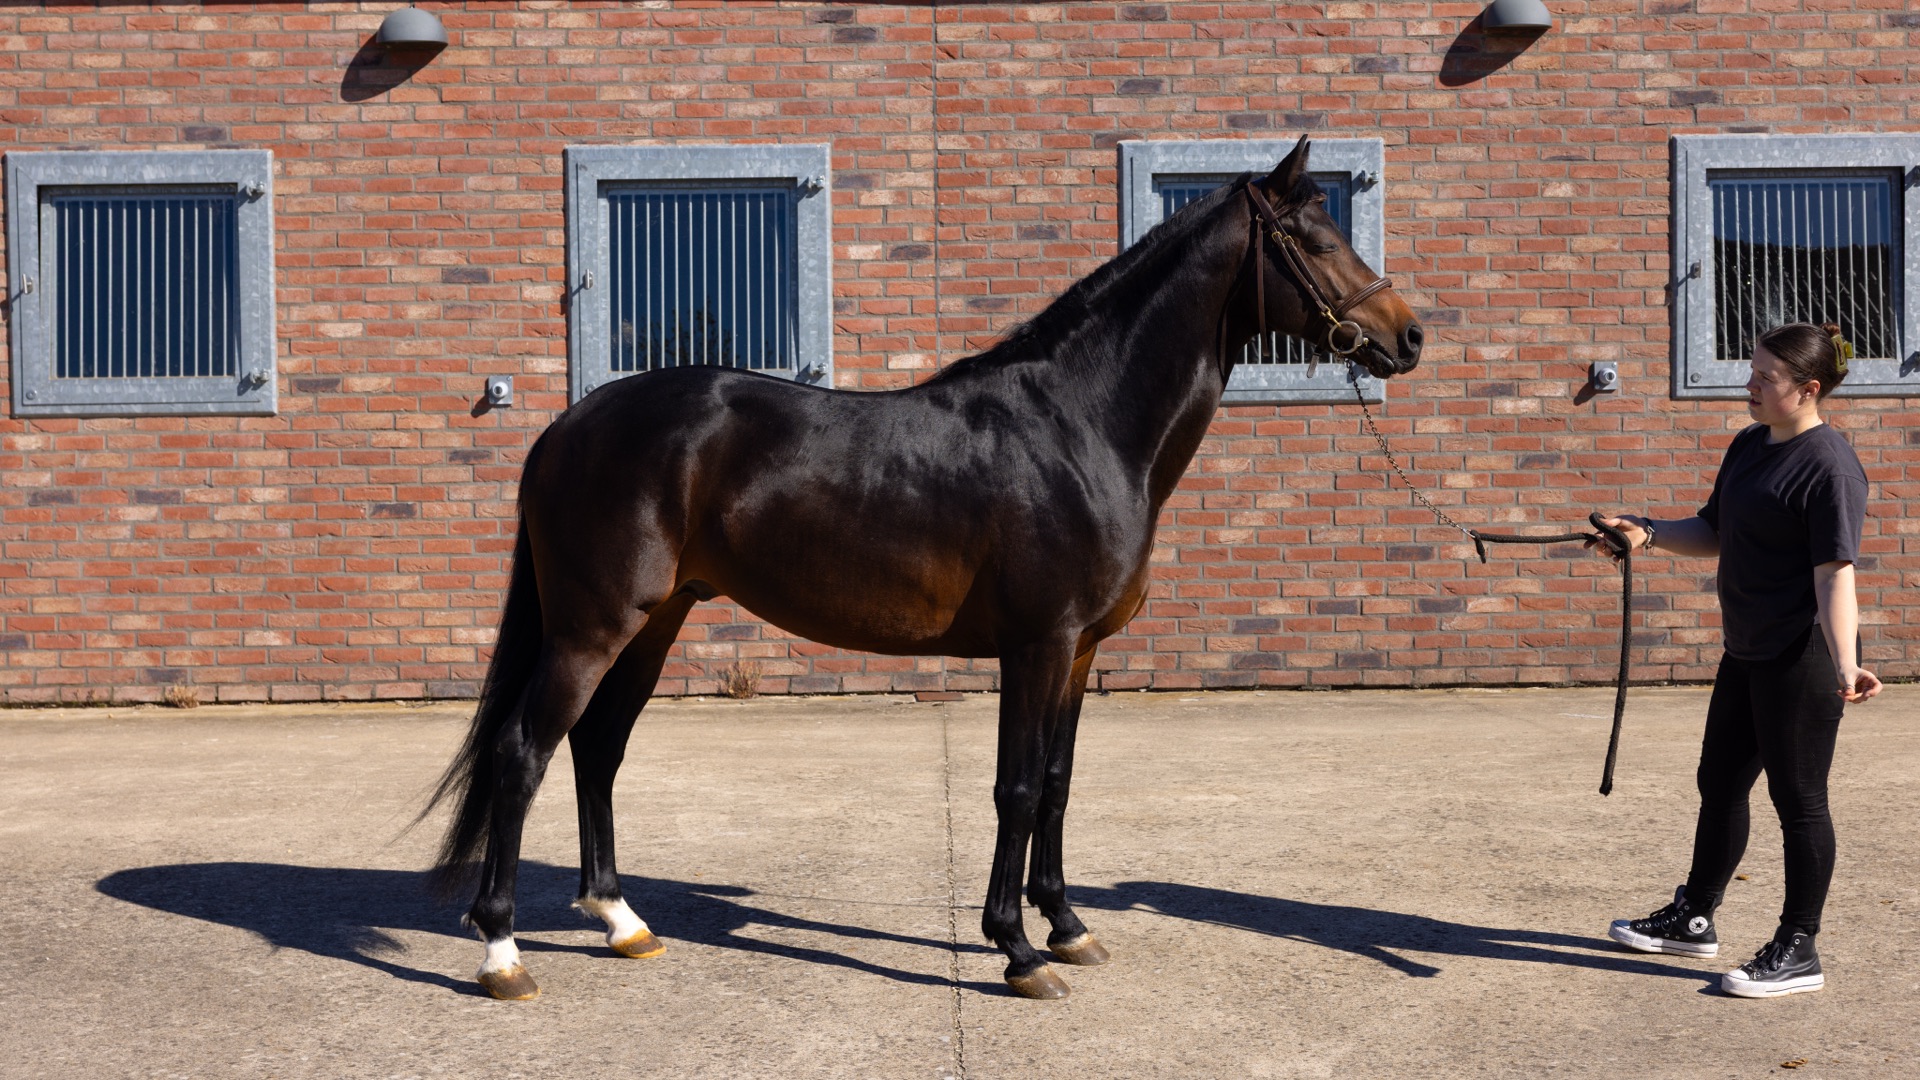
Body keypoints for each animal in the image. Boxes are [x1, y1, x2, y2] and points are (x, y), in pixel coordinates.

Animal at [425, 137, 1423, 1001]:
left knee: (598, 747)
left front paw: (1068, 926)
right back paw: (503, 952)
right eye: (1316, 239)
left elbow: (1056, 785)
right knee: (524, 752)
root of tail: (567, 427)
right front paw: (1018, 951)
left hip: (655, 621)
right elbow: (1015, 789)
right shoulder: (1036, 645)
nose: (1408, 337)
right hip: (593, 627)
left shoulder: (1081, 652)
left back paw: (621, 920)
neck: (1082, 425)